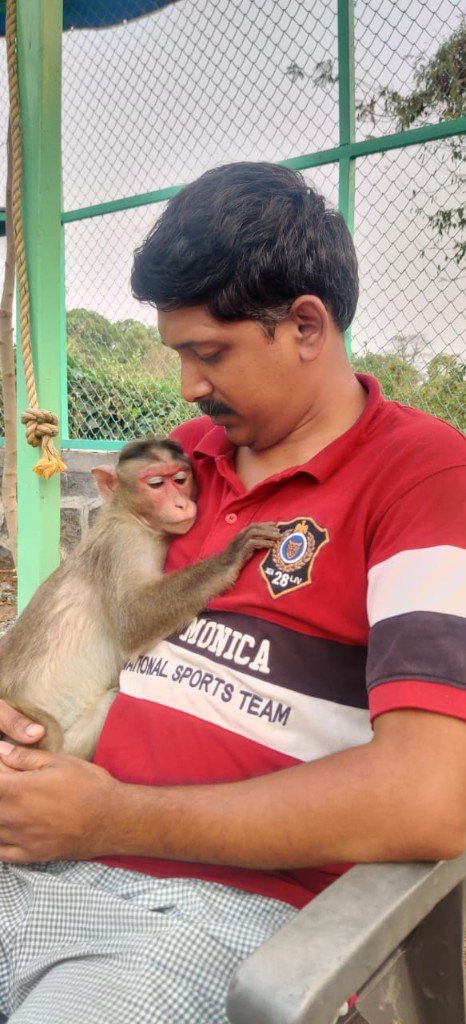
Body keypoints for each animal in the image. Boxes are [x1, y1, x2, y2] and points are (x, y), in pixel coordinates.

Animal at [0, 439, 279, 760]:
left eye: (180, 479)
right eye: (156, 484)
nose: (181, 503)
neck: (129, 516)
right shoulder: (123, 544)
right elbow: (133, 620)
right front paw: (230, 556)